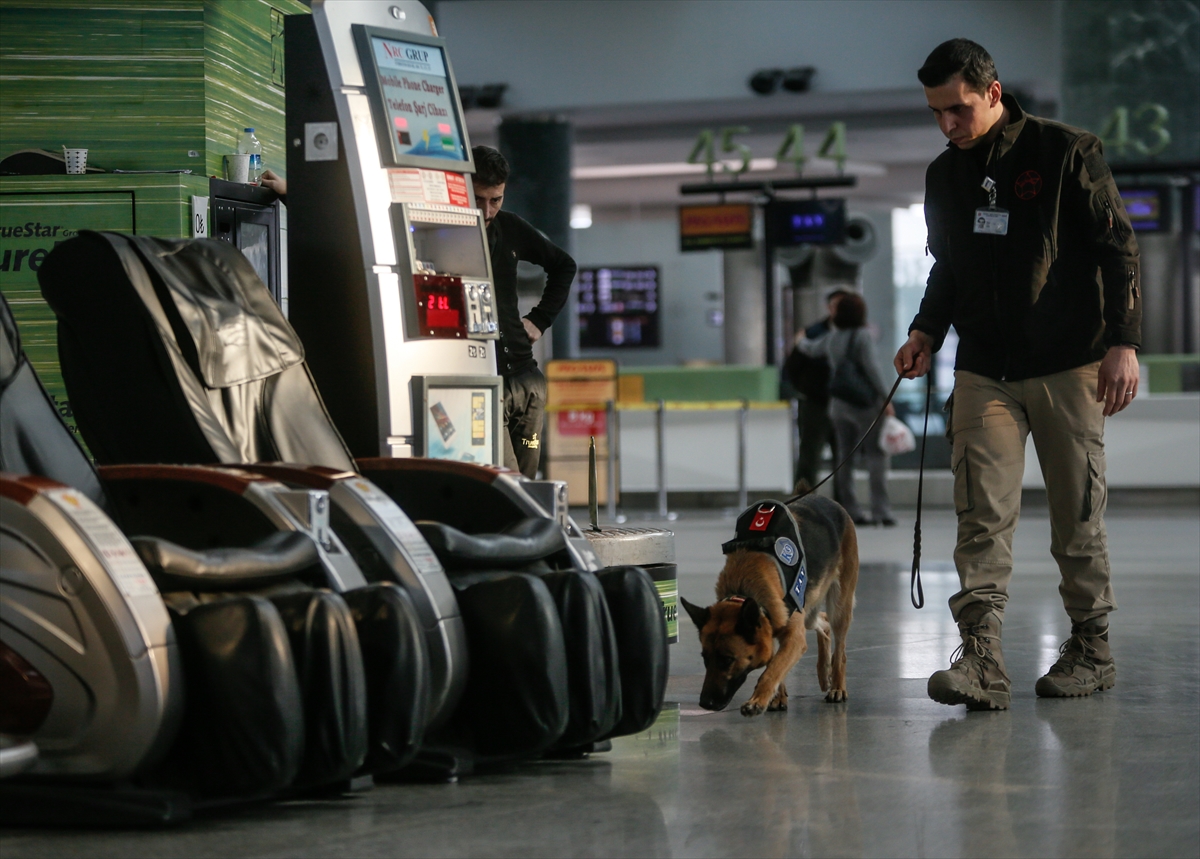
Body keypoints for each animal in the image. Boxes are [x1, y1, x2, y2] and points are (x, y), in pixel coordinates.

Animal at [681, 494, 859, 715]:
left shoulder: (793, 637)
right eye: (705, 658)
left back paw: (837, 686)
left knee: (840, 649)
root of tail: (825, 499)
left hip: (839, 607)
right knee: (823, 623)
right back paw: (823, 670)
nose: (705, 704)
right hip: (809, 612)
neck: (744, 590)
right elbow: (776, 663)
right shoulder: (770, 625)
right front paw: (777, 697)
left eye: (728, 660)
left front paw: (757, 700)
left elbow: (773, 669)